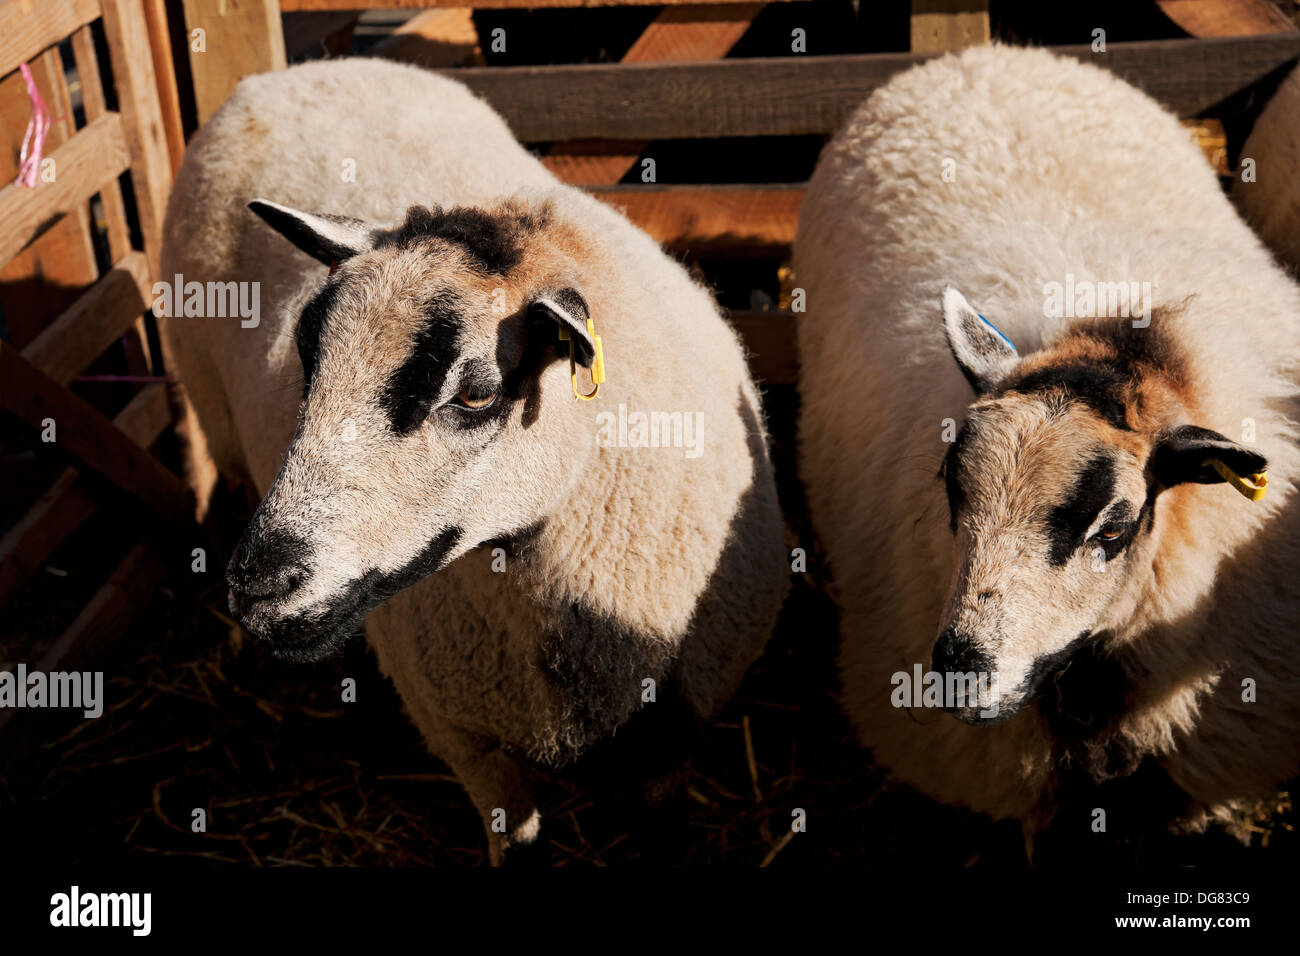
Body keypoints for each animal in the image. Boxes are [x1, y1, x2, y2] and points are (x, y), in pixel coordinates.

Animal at [159, 57, 787, 862]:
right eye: (307, 359)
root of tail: (297, 71)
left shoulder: (672, 737)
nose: (261, 588)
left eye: (477, 393)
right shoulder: (468, 743)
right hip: (216, 413)